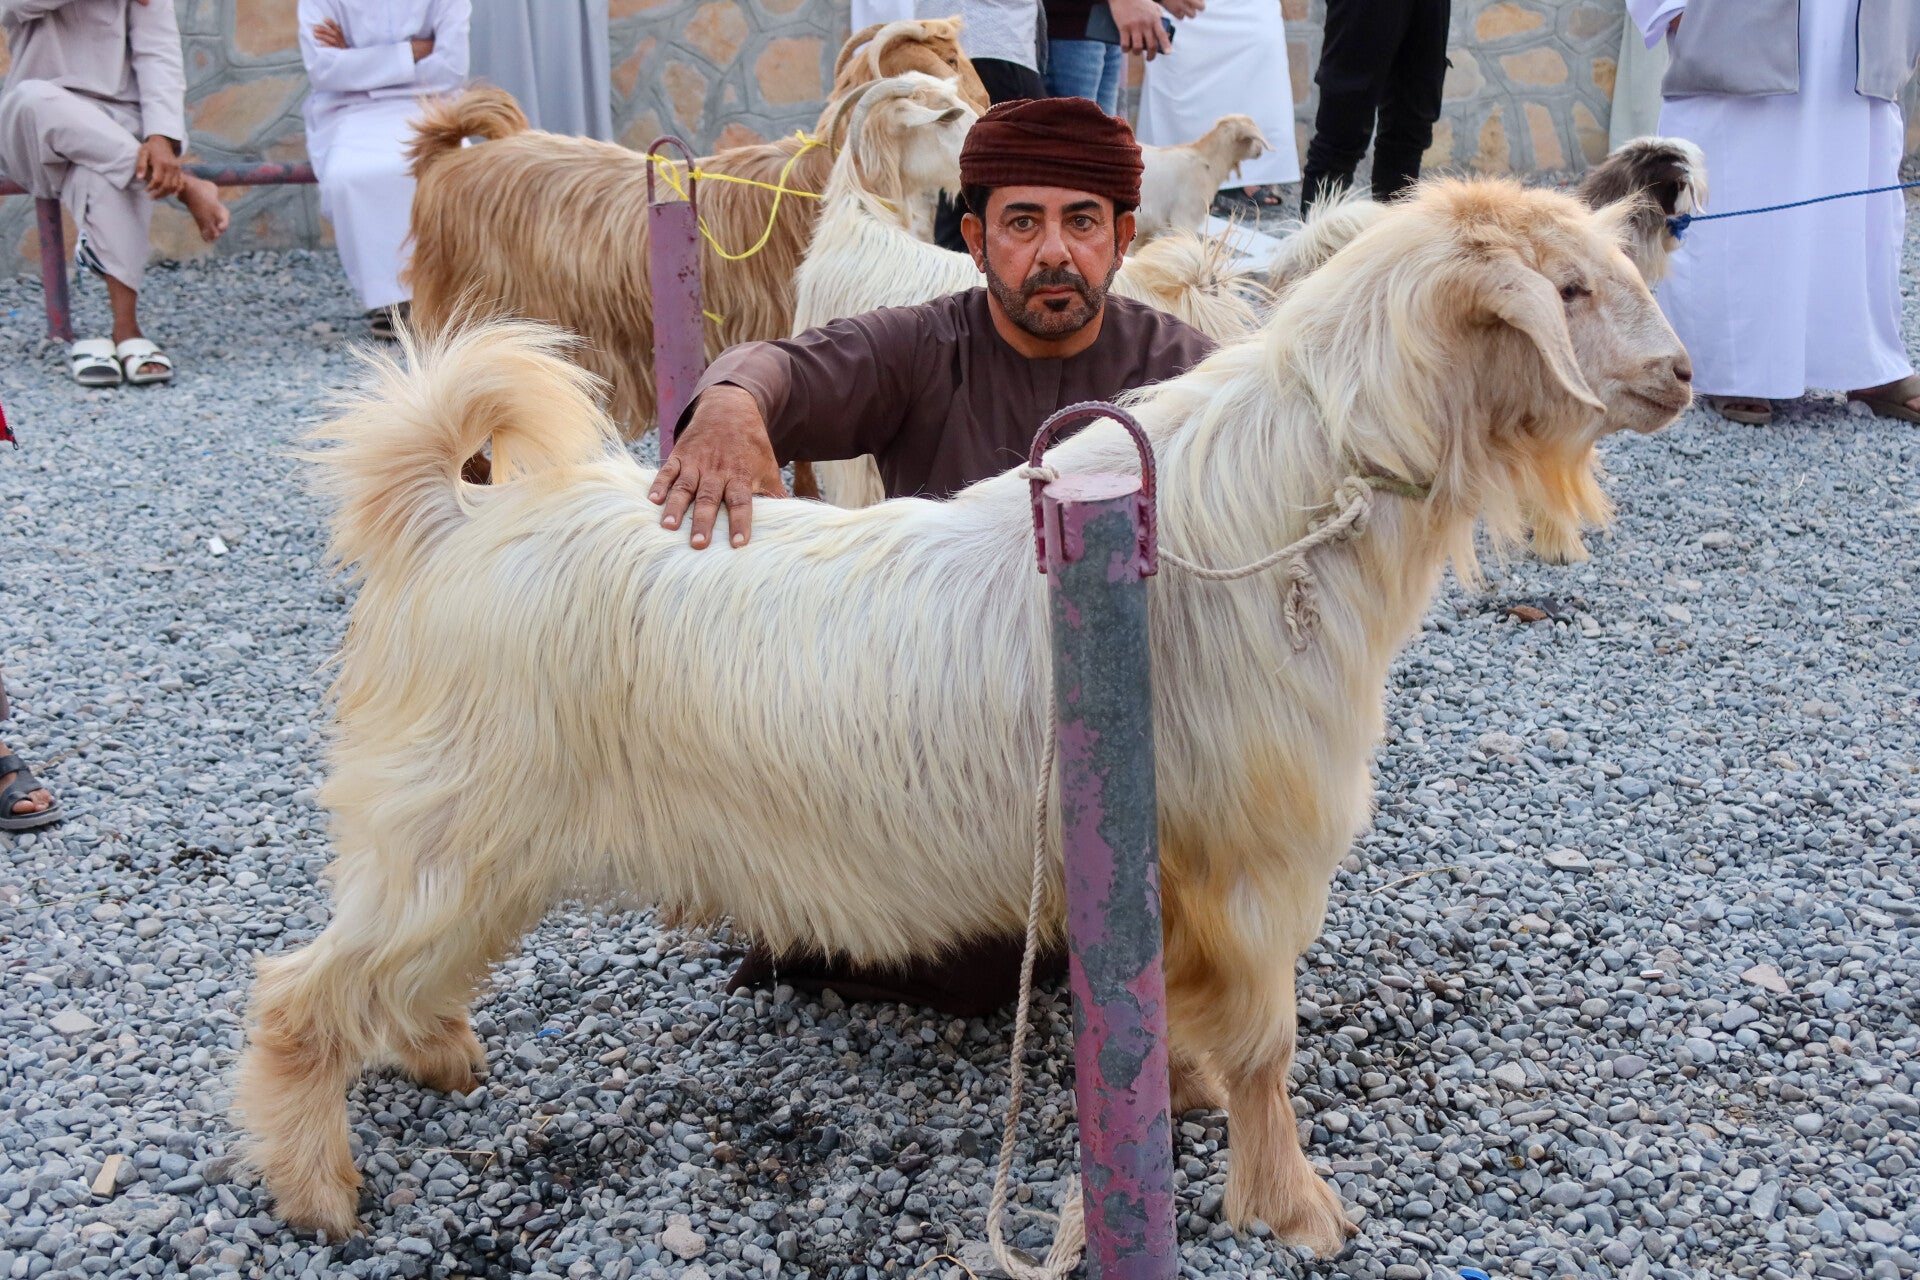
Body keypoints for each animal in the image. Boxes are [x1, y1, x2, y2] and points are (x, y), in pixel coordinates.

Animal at [234, 177, 1693, 1250]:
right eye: (1567, 290)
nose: (1679, 376)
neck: (1278, 515)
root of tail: (452, 516)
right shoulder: (1256, 858)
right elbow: (1269, 1045)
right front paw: (1295, 1208)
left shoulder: (1172, 868)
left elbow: (1190, 1013)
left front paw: (1179, 1097)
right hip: (448, 826)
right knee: (302, 994)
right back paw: (319, 1188)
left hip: (474, 845)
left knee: (402, 967)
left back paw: (435, 1054)